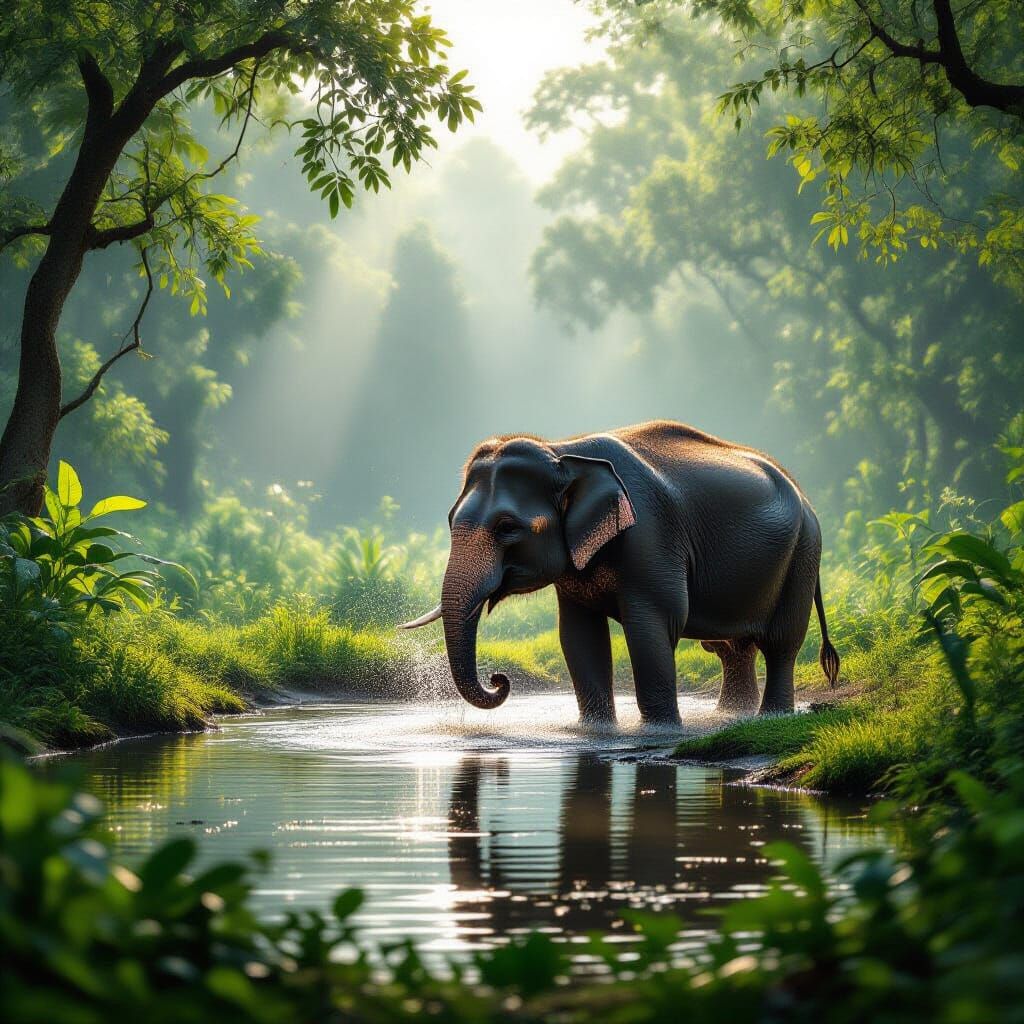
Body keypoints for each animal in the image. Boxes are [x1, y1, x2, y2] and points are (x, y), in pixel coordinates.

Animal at [401, 420, 840, 725]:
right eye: (451, 520)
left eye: (507, 528)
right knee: (733, 646)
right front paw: (595, 732)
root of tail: (805, 496)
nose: (499, 679)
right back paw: (730, 717)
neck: (564, 451)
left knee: (781, 642)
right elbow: (579, 636)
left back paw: (770, 718)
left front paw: (660, 731)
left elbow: (653, 628)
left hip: (804, 553)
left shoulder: (651, 536)